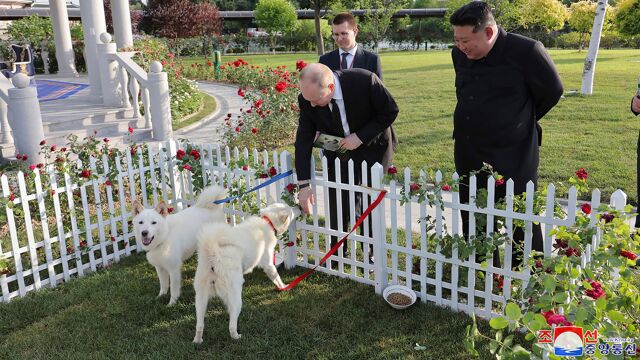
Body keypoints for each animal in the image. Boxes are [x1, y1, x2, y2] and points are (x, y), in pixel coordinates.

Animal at [191, 202, 298, 344]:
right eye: (291, 210)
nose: (299, 207)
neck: (267, 221)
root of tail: (213, 252)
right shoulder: (268, 264)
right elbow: (276, 276)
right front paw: (284, 287)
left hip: (201, 298)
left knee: (199, 324)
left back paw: (198, 340)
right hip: (235, 298)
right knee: (231, 325)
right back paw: (236, 337)